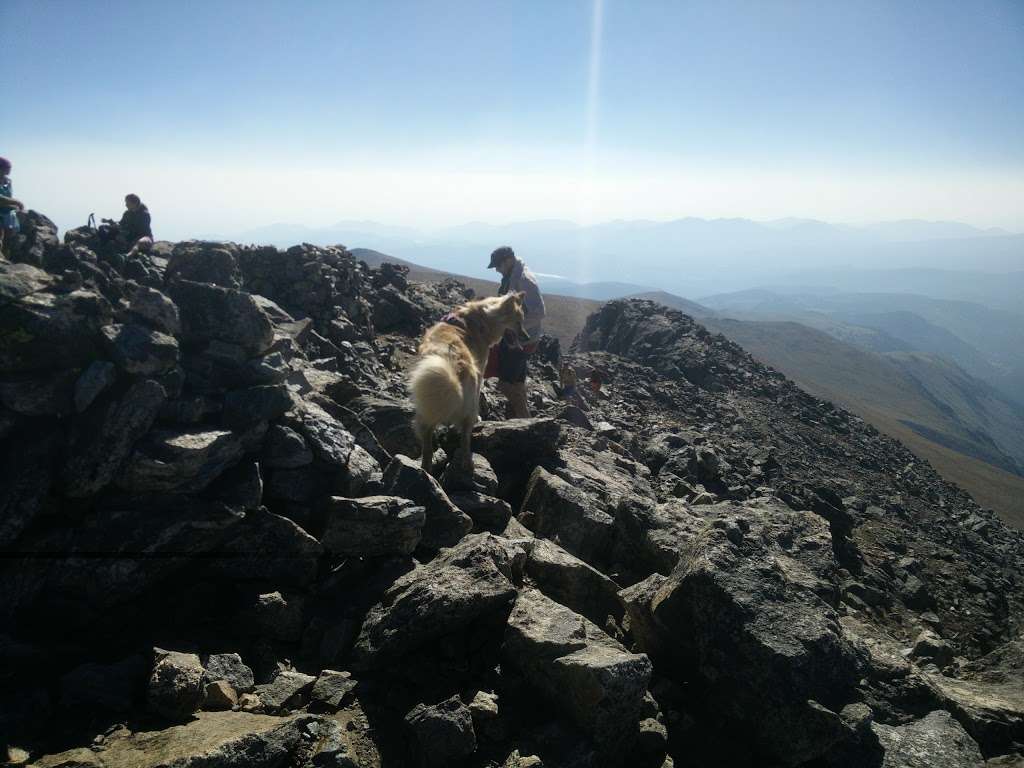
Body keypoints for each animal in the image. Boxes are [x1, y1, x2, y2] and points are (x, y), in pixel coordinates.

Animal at [409, 292, 528, 473]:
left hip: (425, 406)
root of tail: (452, 364)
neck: (482, 319)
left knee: (427, 442)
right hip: (467, 401)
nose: (527, 337)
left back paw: (426, 469)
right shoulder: (481, 372)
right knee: (465, 436)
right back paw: (467, 463)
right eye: (518, 322)